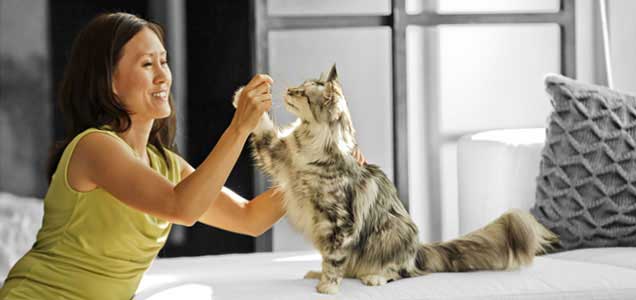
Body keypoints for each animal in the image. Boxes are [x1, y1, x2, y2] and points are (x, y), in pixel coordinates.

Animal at [234, 64, 556, 294]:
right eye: (299, 86)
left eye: (302, 94)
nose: (288, 89)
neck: (308, 143)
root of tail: (419, 249)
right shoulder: (278, 155)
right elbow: (262, 128)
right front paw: (244, 95)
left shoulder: (339, 219)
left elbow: (335, 257)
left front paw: (327, 287)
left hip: (393, 231)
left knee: (401, 272)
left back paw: (373, 277)